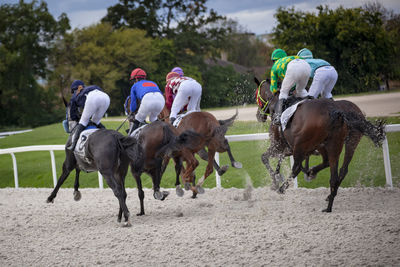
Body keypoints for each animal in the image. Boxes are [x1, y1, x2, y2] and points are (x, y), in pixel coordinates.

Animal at [47, 97, 144, 227]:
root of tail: (117, 138)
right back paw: (121, 216)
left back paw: (127, 217)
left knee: (118, 191)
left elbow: (62, 178)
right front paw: (76, 191)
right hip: (120, 171)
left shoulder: (69, 161)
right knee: (123, 192)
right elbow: (78, 169)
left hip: (106, 173)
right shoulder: (81, 161)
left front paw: (51, 197)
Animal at [253, 77, 384, 214]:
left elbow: (264, 157)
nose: (258, 115)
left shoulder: (278, 146)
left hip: (303, 145)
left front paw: (275, 182)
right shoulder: (289, 149)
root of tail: (335, 111)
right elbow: (278, 159)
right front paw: (279, 176)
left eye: (255, 95)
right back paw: (327, 200)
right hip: (341, 143)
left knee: (297, 168)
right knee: (338, 170)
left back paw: (283, 188)